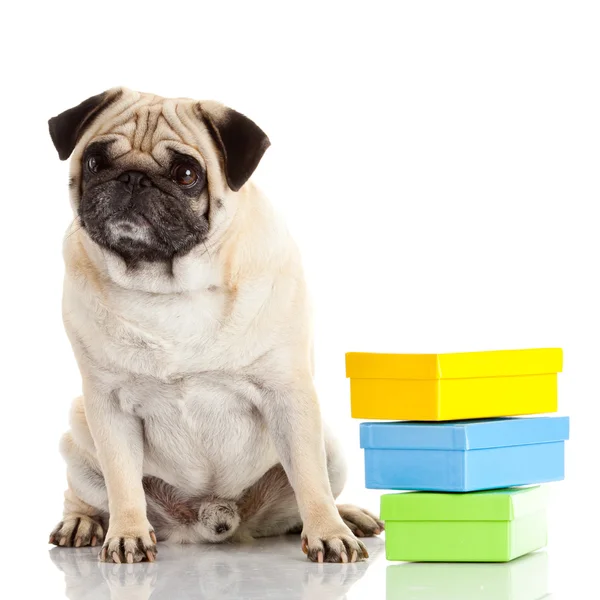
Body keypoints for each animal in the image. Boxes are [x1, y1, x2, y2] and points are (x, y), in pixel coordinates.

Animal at [48, 88, 384, 564]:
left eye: (186, 174)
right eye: (95, 162)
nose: (133, 178)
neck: (170, 288)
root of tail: (214, 516)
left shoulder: (289, 394)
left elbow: (310, 478)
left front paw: (328, 533)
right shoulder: (107, 406)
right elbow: (123, 483)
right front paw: (127, 534)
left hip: (330, 445)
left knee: (307, 490)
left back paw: (348, 516)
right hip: (78, 434)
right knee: (86, 494)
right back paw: (83, 522)